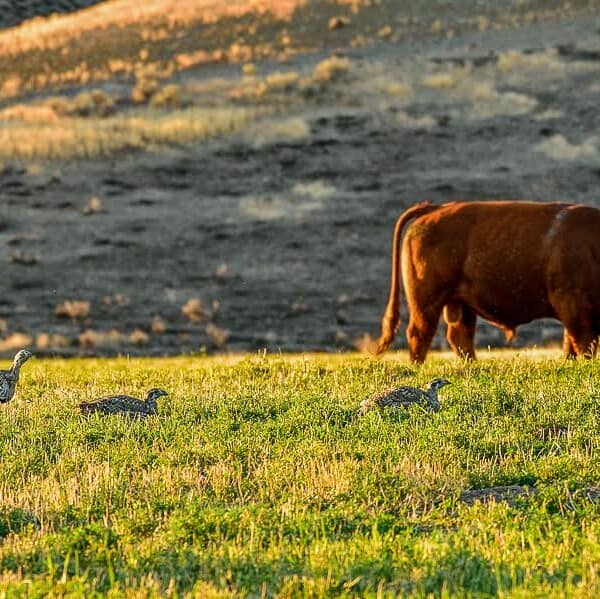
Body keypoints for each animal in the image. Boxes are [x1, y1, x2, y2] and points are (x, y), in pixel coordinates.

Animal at [376, 200, 600, 360]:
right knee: (420, 334)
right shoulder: (573, 305)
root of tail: (434, 208)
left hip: (460, 303)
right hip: (427, 302)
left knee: (460, 337)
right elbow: (583, 343)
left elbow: (572, 345)